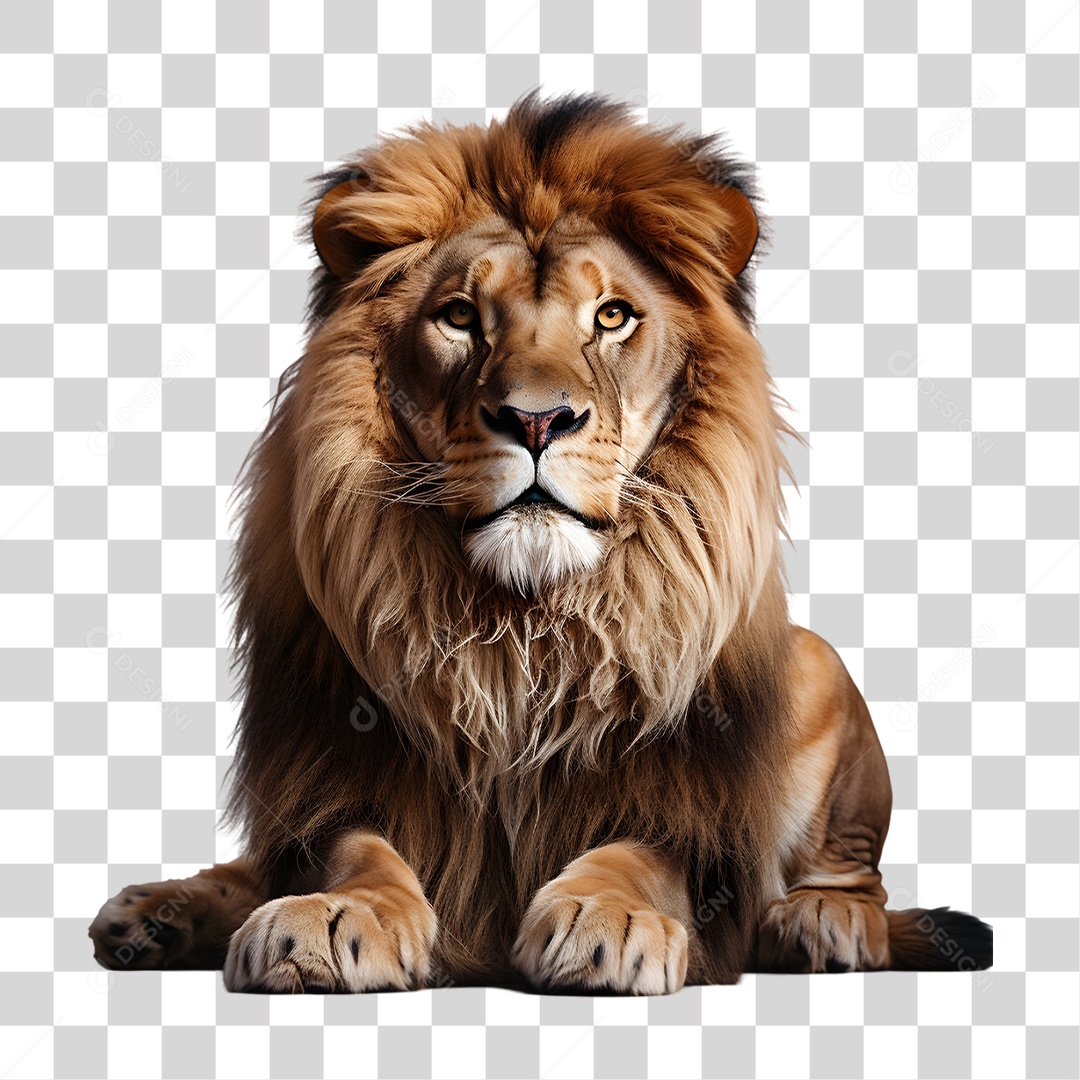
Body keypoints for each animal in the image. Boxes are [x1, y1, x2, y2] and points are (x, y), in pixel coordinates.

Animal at [90, 94, 992, 993]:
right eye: (459, 317)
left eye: (612, 316)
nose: (535, 419)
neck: (523, 628)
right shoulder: (339, 769)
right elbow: (353, 851)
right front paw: (333, 916)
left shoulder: (688, 806)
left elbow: (642, 855)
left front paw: (609, 917)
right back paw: (152, 915)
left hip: (818, 666)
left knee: (853, 874)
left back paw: (820, 921)